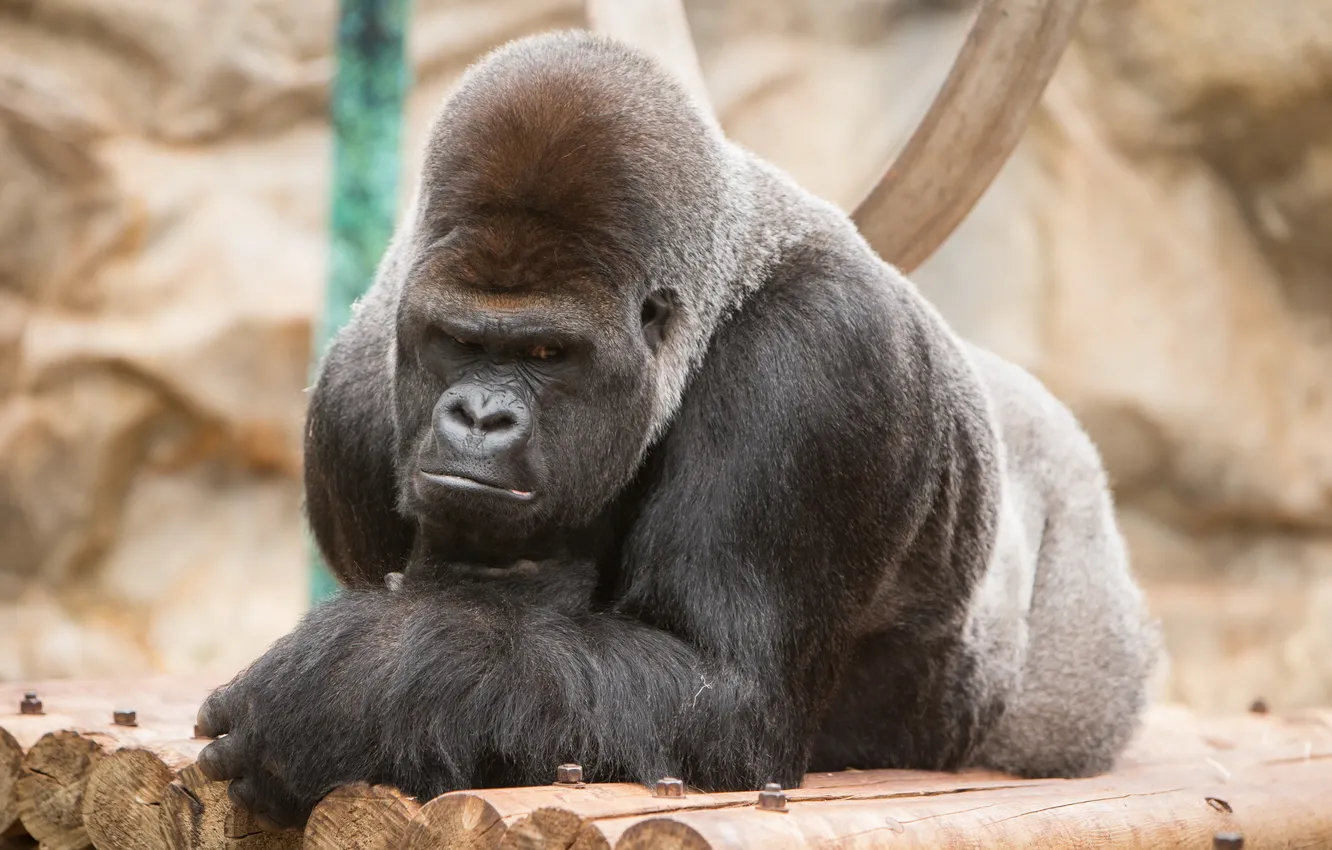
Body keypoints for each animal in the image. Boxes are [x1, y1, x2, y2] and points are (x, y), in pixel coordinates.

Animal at [194, 29, 1159, 831]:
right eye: (459, 341)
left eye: (547, 353)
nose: (477, 414)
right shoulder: (352, 400)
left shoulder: (823, 356)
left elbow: (726, 692)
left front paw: (346, 691)